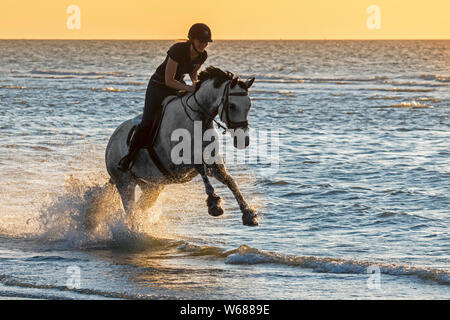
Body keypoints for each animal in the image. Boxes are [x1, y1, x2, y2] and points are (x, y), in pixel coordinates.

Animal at [102, 64, 256, 225]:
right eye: (232, 106)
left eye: (249, 105)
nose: (243, 140)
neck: (197, 119)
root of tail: (110, 144)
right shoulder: (178, 164)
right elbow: (200, 167)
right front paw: (214, 203)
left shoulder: (213, 161)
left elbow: (229, 180)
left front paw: (248, 213)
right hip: (124, 182)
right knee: (130, 207)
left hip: (151, 186)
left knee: (140, 206)